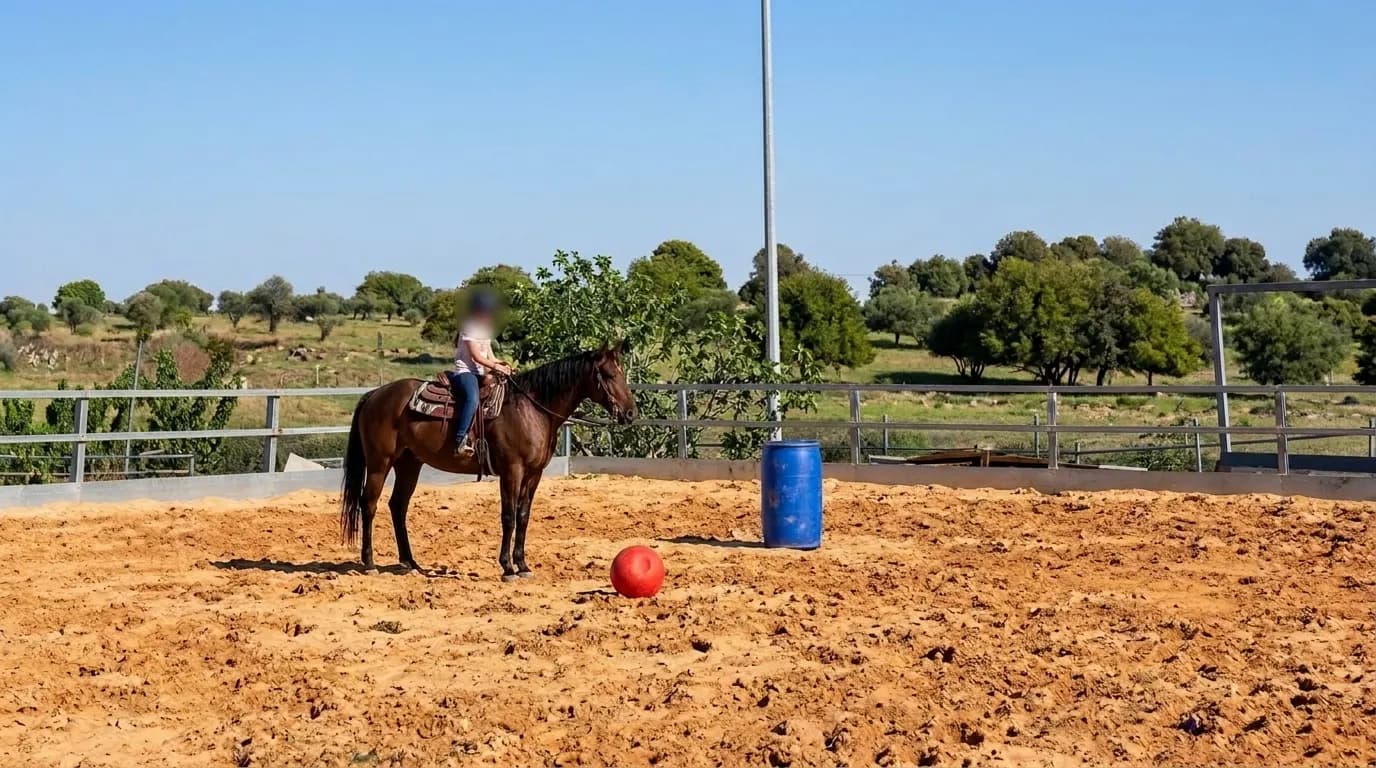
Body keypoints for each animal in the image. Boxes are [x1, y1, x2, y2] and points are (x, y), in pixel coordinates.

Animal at [338, 341, 638, 580]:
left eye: (622, 373)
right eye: (609, 374)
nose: (631, 413)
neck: (531, 409)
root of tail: (375, 395)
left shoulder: (534, 474)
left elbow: (523, 516)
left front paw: (523, 565)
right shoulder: (512, 471)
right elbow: (508, 516)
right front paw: (507, 567)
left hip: (409, 464)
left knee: (398, 506)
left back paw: (410, 562)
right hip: (380, 462)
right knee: (369, 504)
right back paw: (370, 562)